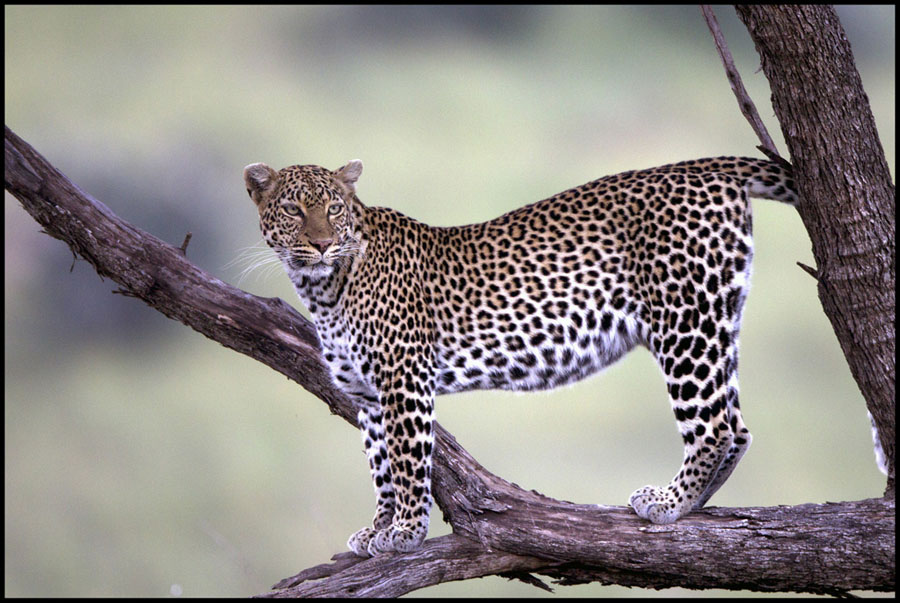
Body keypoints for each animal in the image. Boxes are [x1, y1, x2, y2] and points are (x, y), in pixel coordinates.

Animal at [243, 155, 798, 557]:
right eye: (294, 210)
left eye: (334, 209)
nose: (321, 243)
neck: (322, 288)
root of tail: (702, 167)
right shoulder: (369, 396)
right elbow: (381, 467)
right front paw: (377, 528)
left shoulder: (404, 381)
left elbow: (406, 462)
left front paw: (405, 531)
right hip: (717, 321)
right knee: (737, 425)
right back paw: (695, 503)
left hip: (684, 322)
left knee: (714, 426)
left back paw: (669, 502)